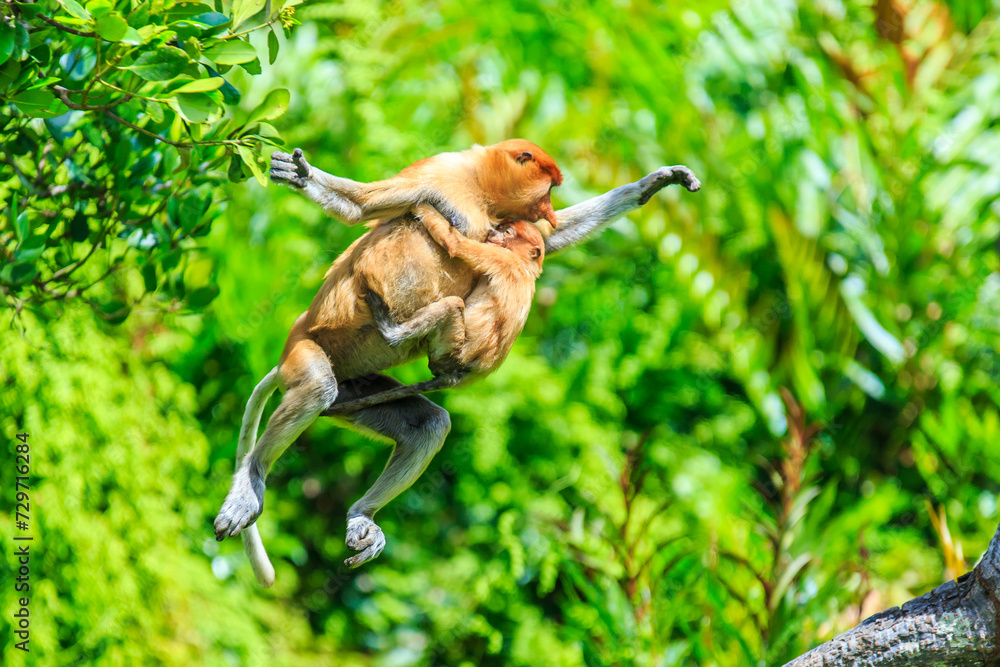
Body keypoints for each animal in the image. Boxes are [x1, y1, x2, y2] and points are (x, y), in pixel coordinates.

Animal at [215, 143, 702, 586]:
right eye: (548, 188)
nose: (548, 210)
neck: (479, 190)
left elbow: (549, 240)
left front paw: (654, 183)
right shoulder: (437, 173)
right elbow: (365, 206)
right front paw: (301, 175)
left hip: (357, 386)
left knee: (425, 423)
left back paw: (361, 514)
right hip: (307, 350)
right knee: (317, 388)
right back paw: (251, 484)